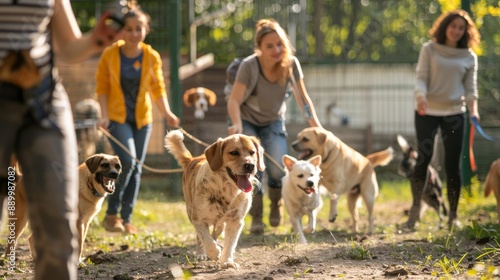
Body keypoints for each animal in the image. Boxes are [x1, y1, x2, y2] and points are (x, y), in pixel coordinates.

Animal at [164, 130, 266, 268]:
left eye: (252, 152)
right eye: (234, 153)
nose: (250, 165)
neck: (226, 191)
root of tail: (193, 159)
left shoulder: (236, 221)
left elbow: (230, 244)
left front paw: (227, 261)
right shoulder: (198, 219)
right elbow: (206, 239)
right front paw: (213, 253)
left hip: (221, 222)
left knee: (217, 231)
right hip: (191, 212)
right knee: (200, 237)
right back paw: (201, 253)